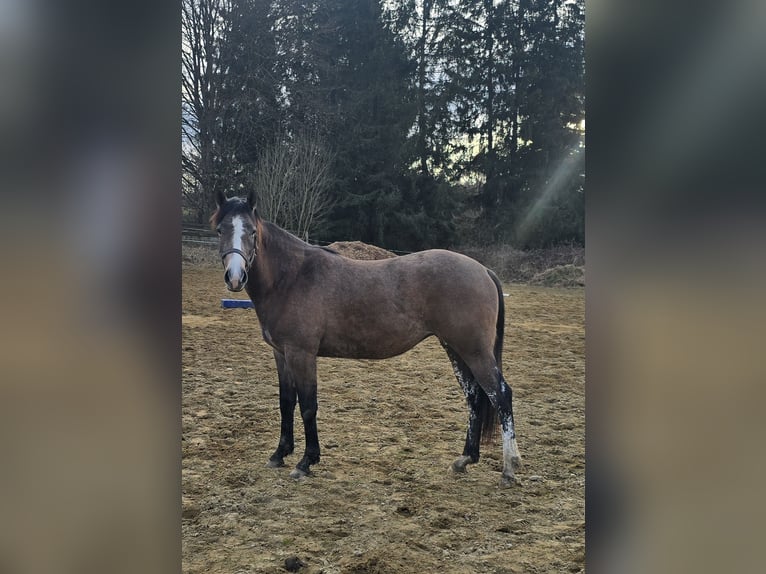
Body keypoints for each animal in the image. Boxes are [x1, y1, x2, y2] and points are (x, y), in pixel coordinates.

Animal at [211, 190, 522, 486]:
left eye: (252, 231)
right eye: (220, 230)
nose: (235, 277)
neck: (293, 277)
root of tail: (483, 270)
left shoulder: (302, 354)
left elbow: (308, 406)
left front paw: (306, 462)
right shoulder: (281, 353)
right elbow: (286, 402)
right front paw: (279, 454)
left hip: (474, 351)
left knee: (500, 395)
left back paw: (509, 468)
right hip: (456, 349)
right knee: (474, 397)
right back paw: (465, 459)